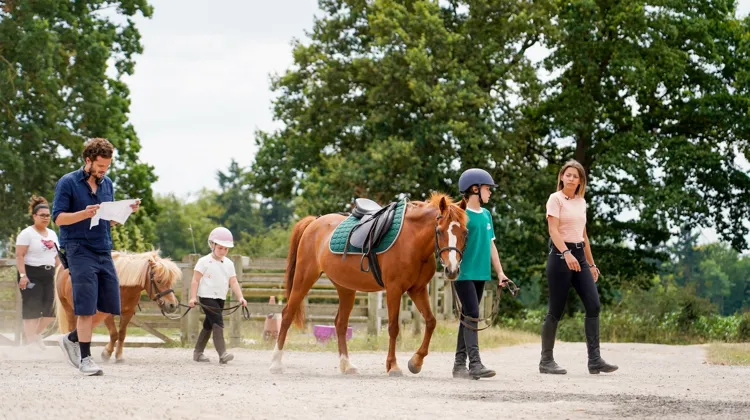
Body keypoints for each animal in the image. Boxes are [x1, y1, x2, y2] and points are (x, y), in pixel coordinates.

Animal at [270, 193, 468, 376]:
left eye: (465, 233)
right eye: (439, 231)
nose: (452, 270)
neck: (412, 240)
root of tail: (314, 221)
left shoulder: (417, 290)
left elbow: (430, 321)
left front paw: (416, 362)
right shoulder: (394, 290)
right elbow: (393, 327)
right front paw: (393, 366)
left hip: (345, 288)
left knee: (340, 324)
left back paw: (347, 365)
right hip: (304, 278)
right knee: (287, 315)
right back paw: (276, 362)